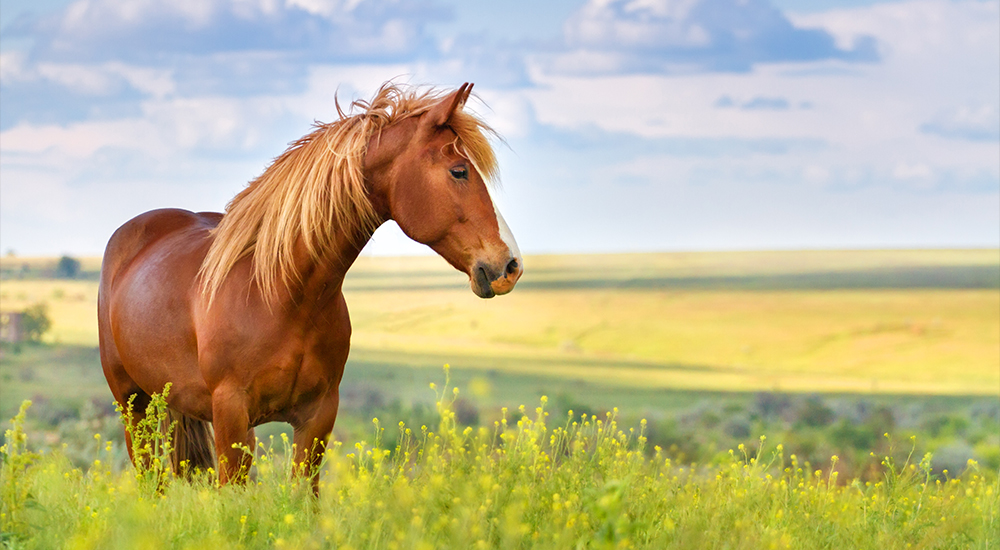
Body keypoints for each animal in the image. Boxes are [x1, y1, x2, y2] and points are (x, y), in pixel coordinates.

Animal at [97, 82, 523, 493]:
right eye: (459, 171)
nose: (510, 265)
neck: (282, 295)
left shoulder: (317, 417)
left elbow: (304, 497)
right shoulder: (231, 415)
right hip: (133, 406)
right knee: (150, 482)